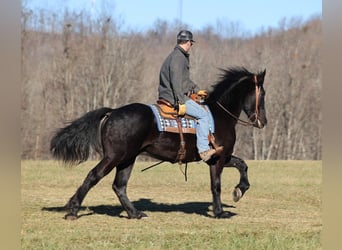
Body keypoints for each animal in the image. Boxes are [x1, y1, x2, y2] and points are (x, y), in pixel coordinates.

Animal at [50, 66, 268, 219]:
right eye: (263, 94)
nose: (263, 122)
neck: (220, 115)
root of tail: (113, 112)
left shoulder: (222, 156)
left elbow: (242, 165)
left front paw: (239, 190)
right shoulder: (217, 159)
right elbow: (216, 185)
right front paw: (220, 212)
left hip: (127, 159)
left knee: (119, 186)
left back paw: (135, 213)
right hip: (114, 157)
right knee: (93, 176)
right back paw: (73, 210)